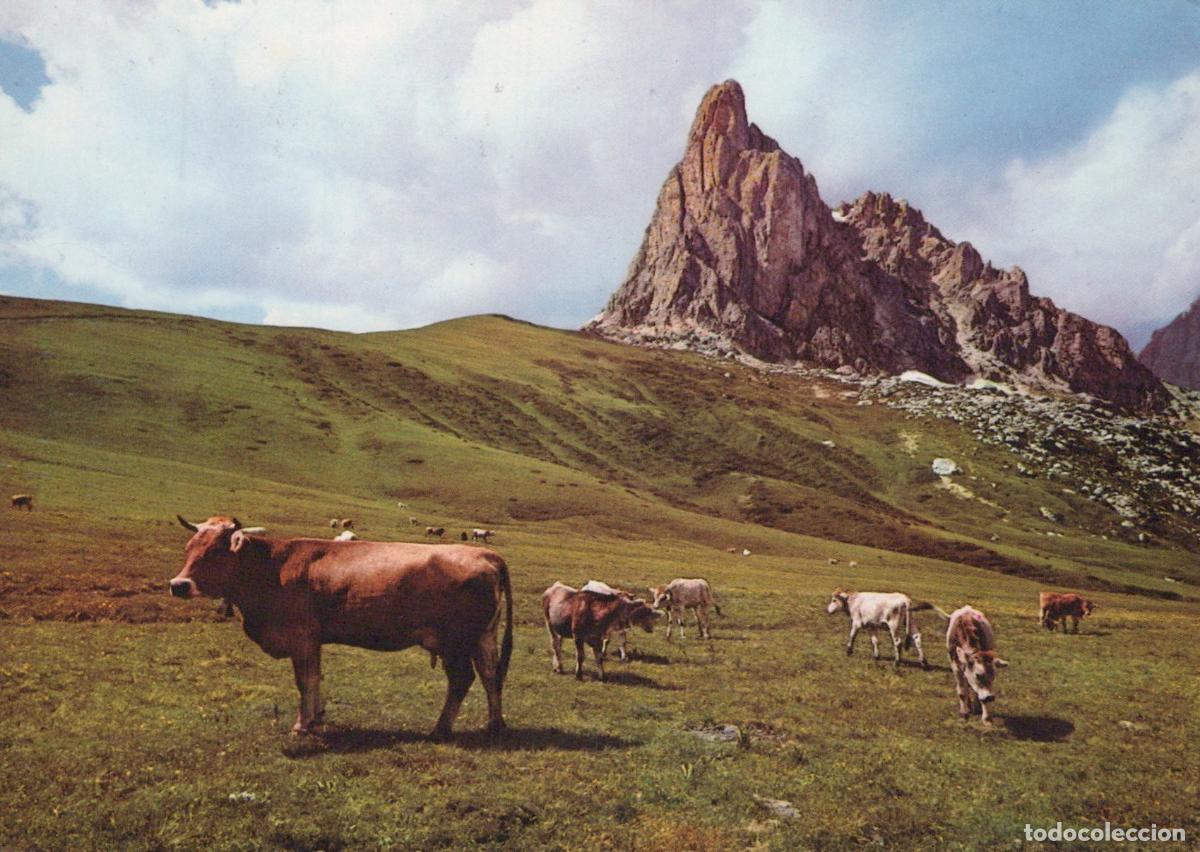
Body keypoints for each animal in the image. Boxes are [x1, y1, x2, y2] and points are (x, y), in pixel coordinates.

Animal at [170, 515, 513, 740]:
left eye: (216, 550)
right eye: (189, 547)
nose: (178, 585)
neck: (272, 568)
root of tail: (485, 553)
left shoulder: (300, 637)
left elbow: (304, 681)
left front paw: (302, 725)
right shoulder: (313, 640)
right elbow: (316, 677)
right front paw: (316, 717)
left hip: (454, 643)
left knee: (463, 679)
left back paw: (440, 729)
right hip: (484, 637)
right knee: (490, 675)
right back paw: (494, 725)